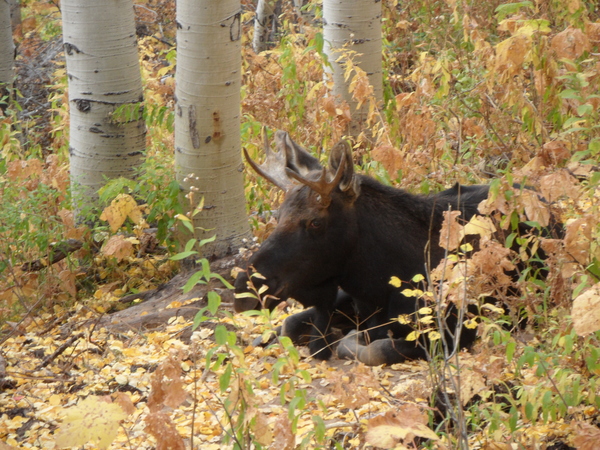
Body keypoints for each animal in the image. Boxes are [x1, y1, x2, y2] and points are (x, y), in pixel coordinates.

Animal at [233, 129, 552, 366]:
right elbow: (289, 323)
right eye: (278, 215)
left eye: (314, 222)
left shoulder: (456, 330)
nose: (244, 289)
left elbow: (377, 348)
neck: (378, 282)